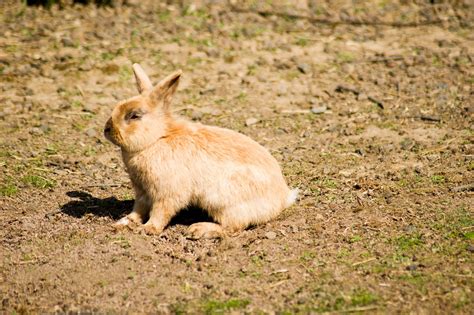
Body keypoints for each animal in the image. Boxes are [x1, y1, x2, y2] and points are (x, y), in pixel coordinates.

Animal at [104, 63, 298, 238]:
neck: (157, 138)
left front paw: (148, 229)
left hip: (224, 203)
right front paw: (124, 223)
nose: (106, 129)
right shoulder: (142, 191)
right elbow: (139, 209)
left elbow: (161, 211)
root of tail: (282, 199)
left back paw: (199, 230)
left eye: (134, 116)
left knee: (233, 227)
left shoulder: (166, 192)